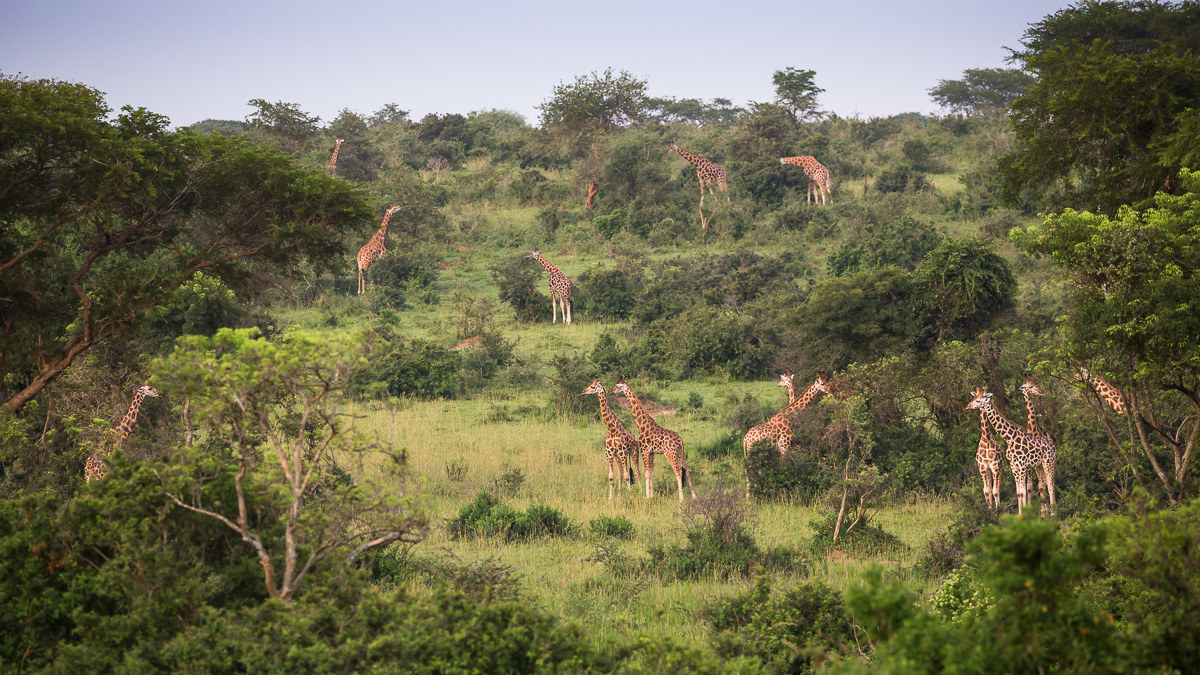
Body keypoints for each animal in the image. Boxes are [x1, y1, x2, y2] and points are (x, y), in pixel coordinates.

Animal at [966, 387, 1058, 515]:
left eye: (978, 400)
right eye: (974, 398)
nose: (968, 406)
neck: (1009, 438)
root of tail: (1052, 444)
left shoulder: (1022, 465)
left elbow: (1023, 491)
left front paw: (1025, 513)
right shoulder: (1014, 466)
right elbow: (1019, 492)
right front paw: (1020, 514)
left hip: (1048, 463)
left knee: (1051, 485)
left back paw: (1053, 513)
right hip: (1039, 466)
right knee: (1045, 484)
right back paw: (1046, 513)